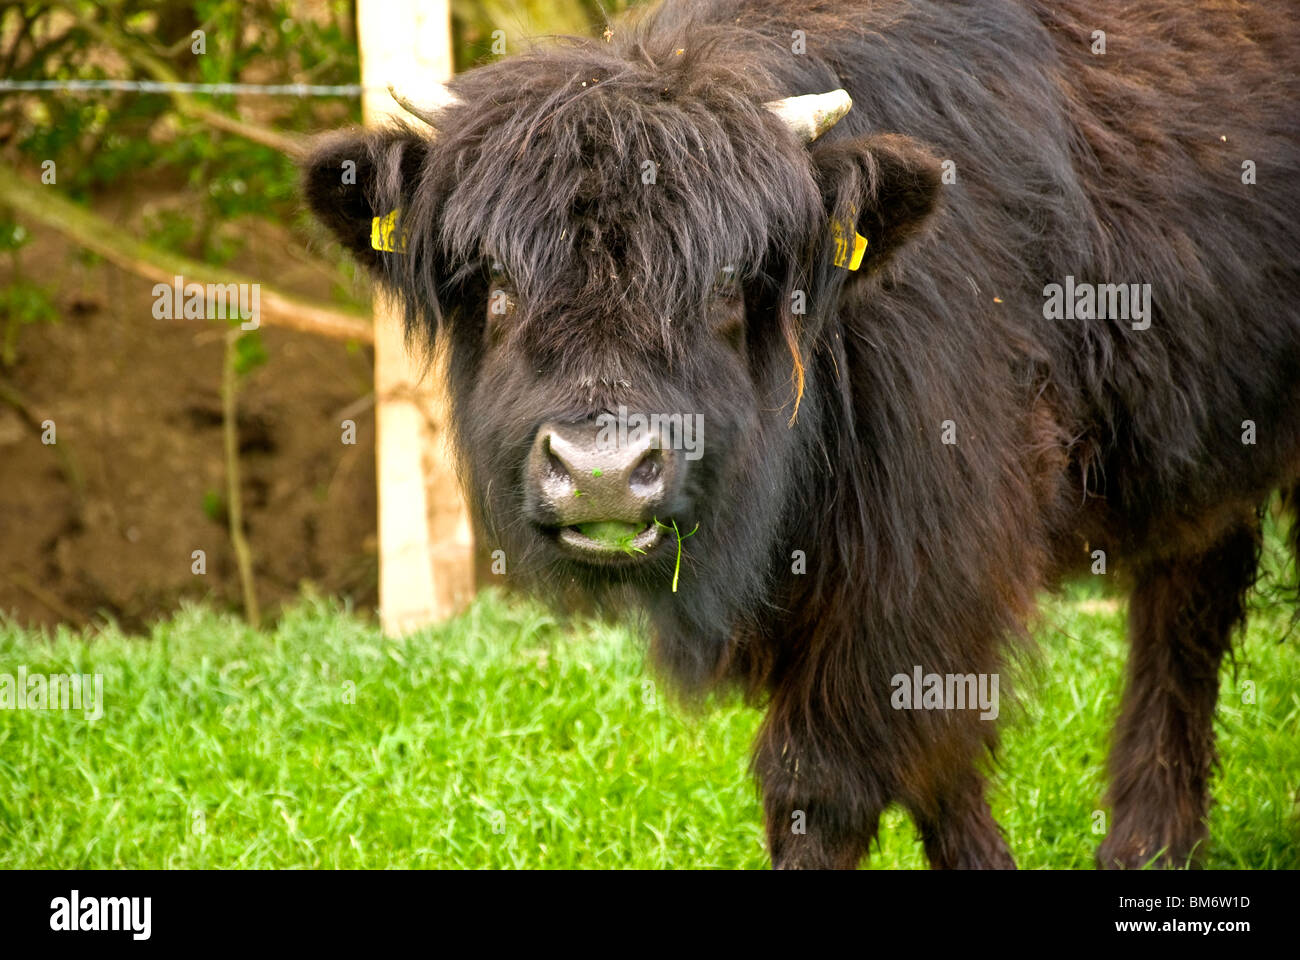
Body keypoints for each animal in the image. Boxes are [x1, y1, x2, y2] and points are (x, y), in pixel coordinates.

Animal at [303, 0, 1300, 868]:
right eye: (500, 284)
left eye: (723, 283)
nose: (603, 471)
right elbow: (937, 769)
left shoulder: (927, 562)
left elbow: (826, 781)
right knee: (1190, 599)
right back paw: (1151, 845)